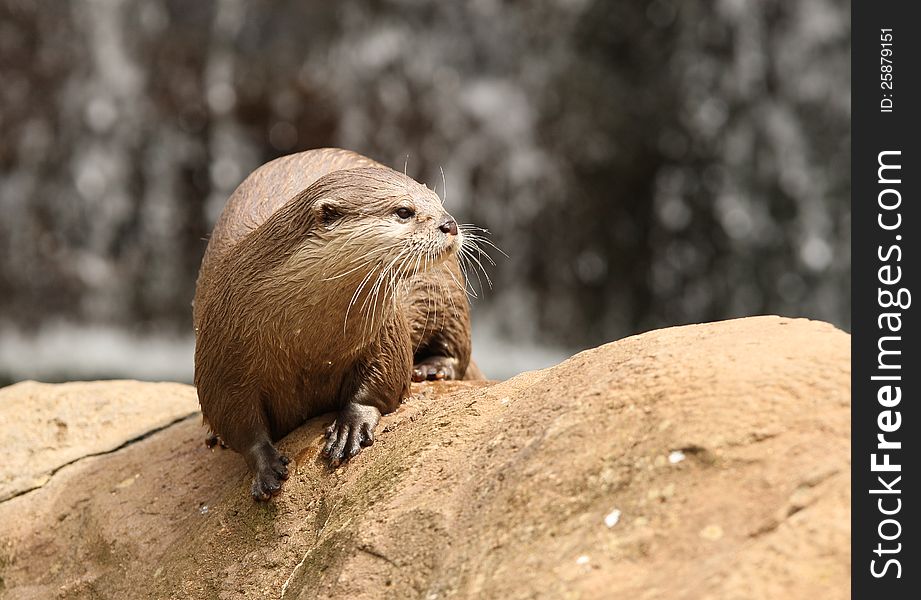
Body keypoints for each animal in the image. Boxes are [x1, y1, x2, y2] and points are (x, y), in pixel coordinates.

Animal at [193, 148, 482, 500]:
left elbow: (386, 377)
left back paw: (432, 368)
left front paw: (351, 425)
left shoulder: (385, 328)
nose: (449, 223)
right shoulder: (222, 346)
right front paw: (264, 465)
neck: (305, 339)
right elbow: (234, 417)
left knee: (456, 342)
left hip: (447, 291)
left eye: (438, 201)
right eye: (404, 211)